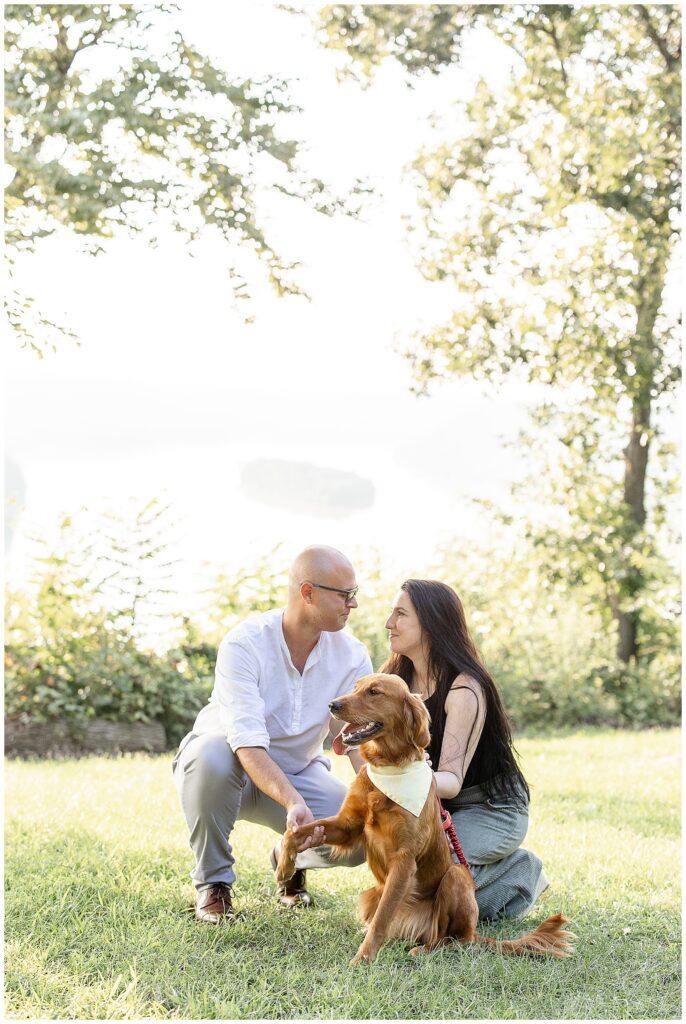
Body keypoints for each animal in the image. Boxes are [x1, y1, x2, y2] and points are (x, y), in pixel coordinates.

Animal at [276, 675, 577, 962]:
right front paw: (284, 867)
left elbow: (382, 920)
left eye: (374, 692)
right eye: (356, 687)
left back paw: (424, 950)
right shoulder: (348, 826)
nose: (332, 704)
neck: (388, 767)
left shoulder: (404, 859)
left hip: (456, 879)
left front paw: (363, 958)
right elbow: (298, 831)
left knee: (452, 939)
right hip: (371, 894)